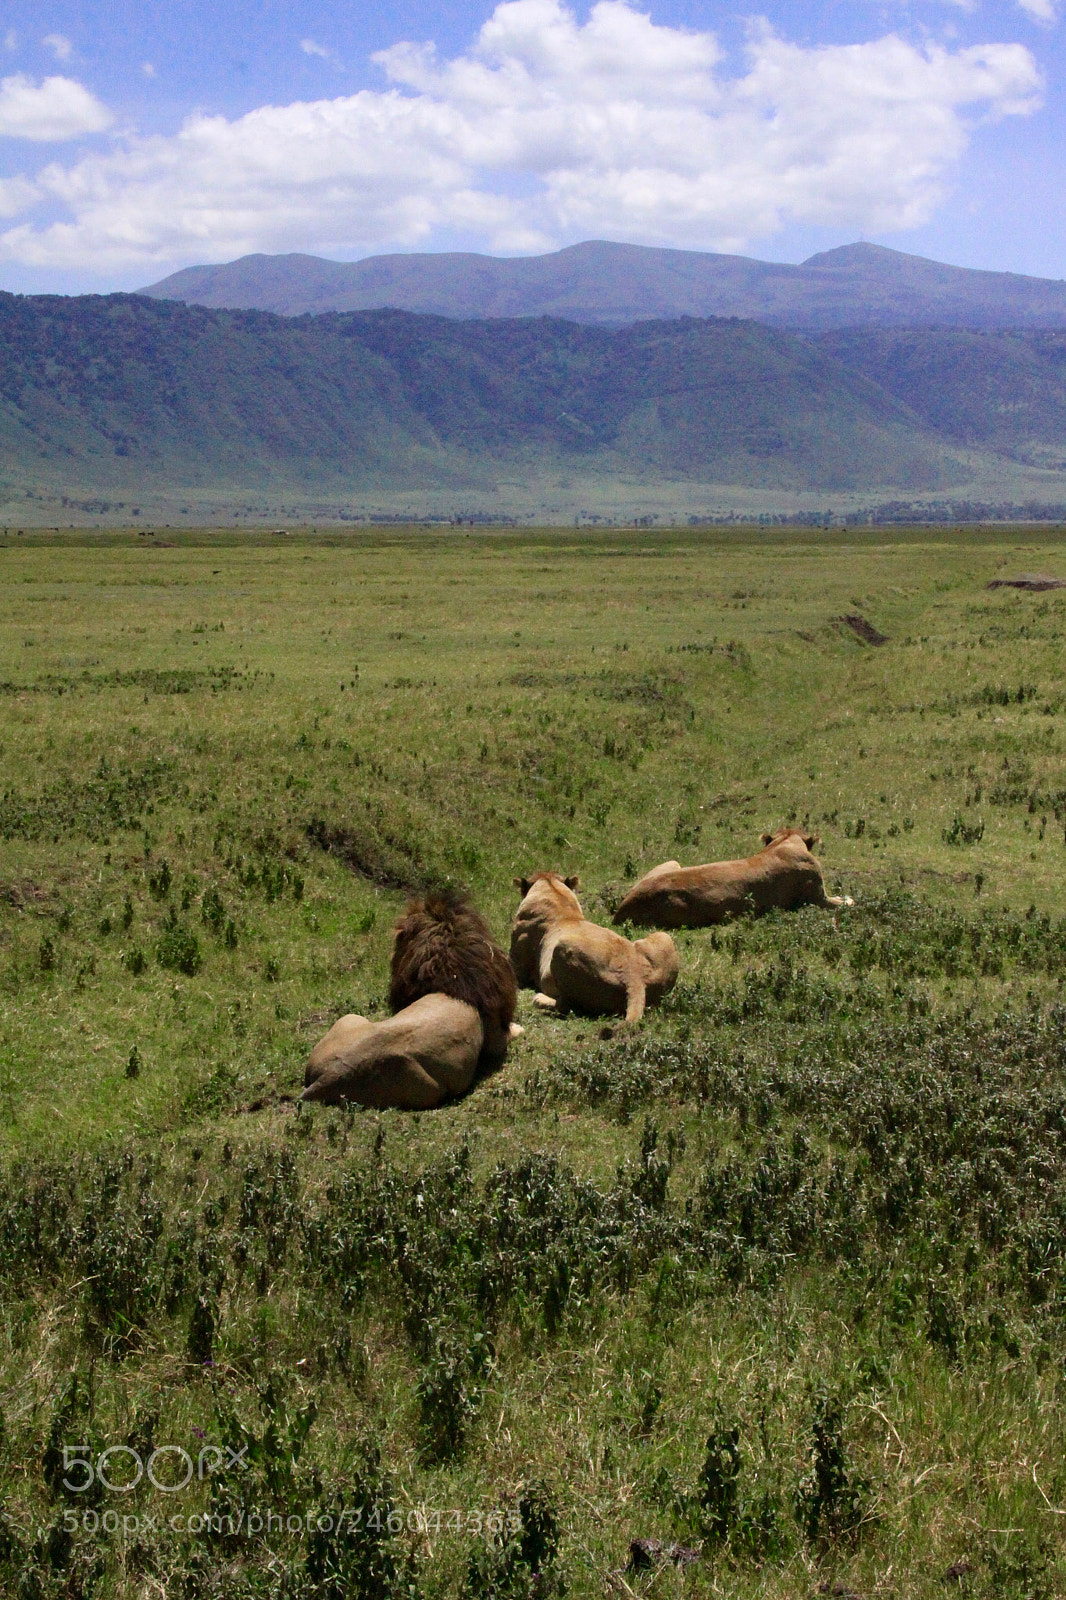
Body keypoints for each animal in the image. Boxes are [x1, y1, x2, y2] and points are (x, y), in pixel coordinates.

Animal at [510, 872, 679, 1023]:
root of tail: (635, 977)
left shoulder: (517, 968)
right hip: (664, 936)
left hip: (563, 946)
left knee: (567, 1006)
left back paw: (539, 999)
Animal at [613, 829, 854, 930]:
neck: (784, 843)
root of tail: (623, 907)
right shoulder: (817, 899)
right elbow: (846, 902)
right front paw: (850, 900)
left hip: (672, 862)